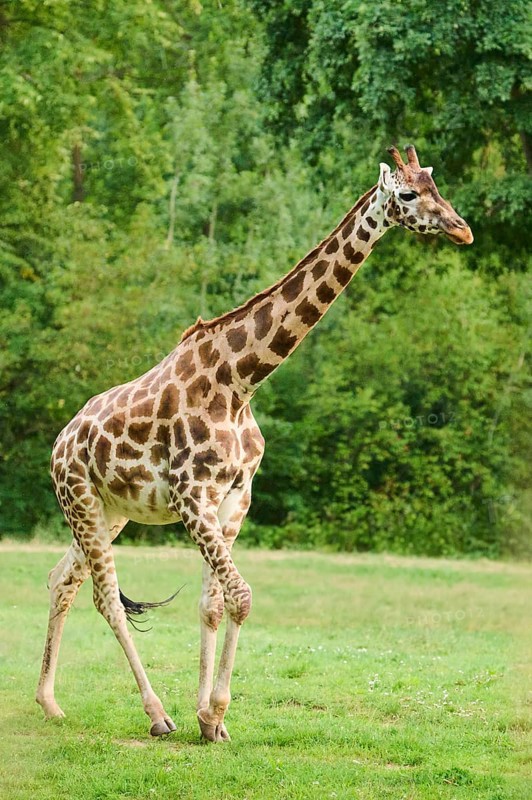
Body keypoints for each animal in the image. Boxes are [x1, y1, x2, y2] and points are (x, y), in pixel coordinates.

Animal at [36, 145, 473, 742]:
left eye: (435, 185)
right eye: (407, 194)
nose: (462, 229)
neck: (241, 382)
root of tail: (60, 443)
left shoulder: (234, 497)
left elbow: (214, 604)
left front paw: (209, 719)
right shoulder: (191, 495)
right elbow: (240, 597)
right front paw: (212, 712)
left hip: (111, 510)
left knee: (63, 579)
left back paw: (50, 703)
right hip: (80, 498)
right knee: (107, 597)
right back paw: (156, 714)